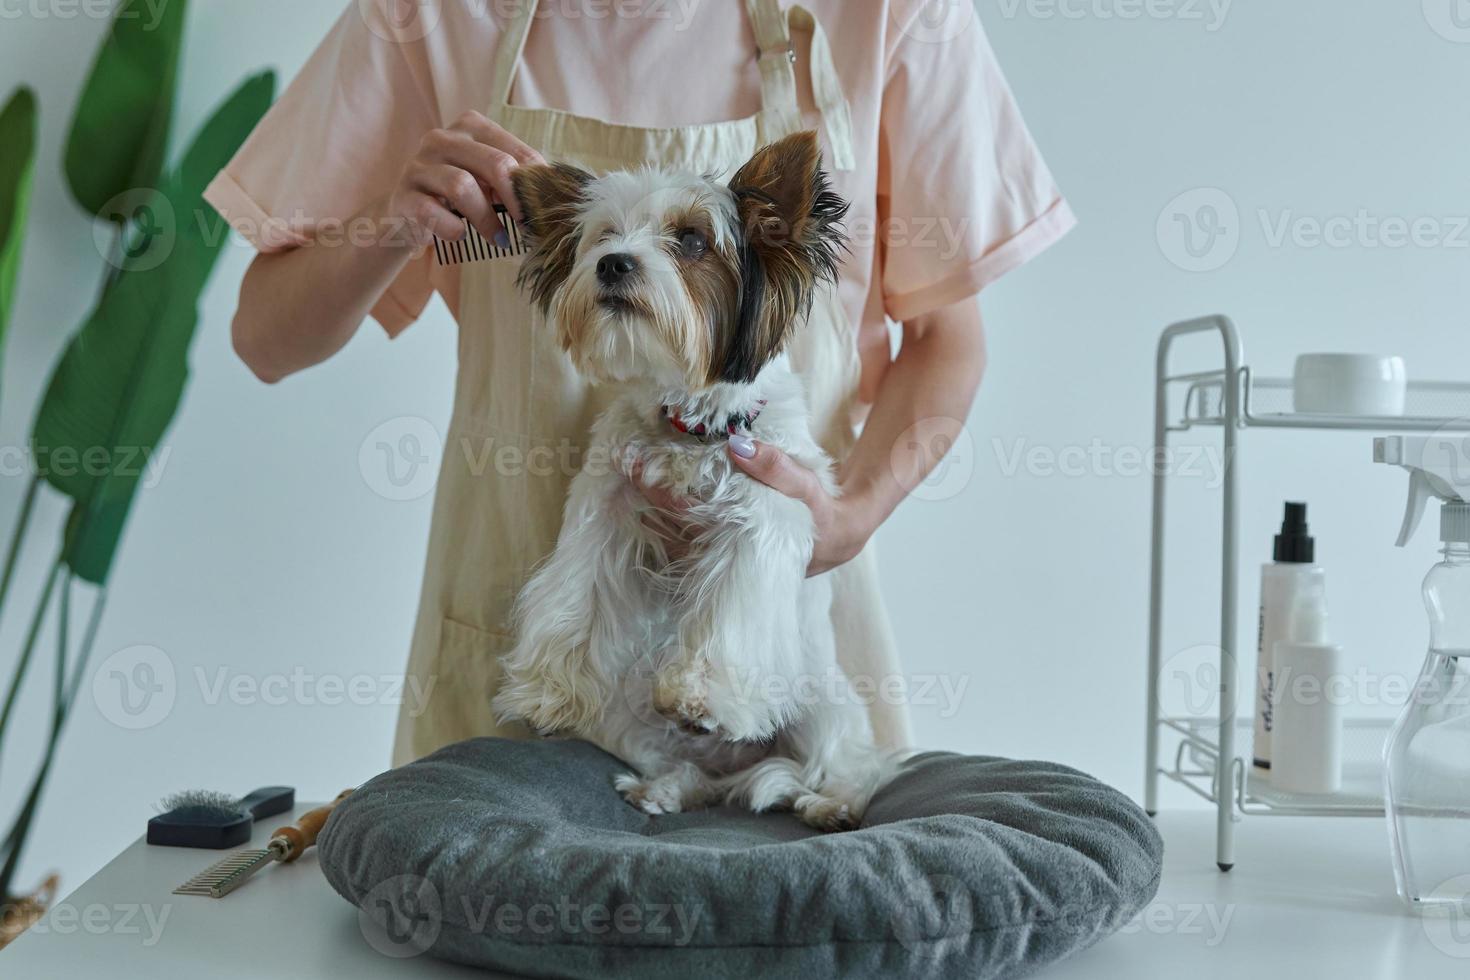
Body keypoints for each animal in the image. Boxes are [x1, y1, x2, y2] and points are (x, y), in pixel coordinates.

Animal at [490, 130, 893, 834]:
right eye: (603, 236)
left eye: (692, 240)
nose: (613, 264)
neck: (691, 424)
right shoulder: (604, 504)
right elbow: (573, 592)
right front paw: (545, 689)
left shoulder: (764, 515)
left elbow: (731, 605)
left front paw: (701, 695)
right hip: (628, 717)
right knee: (689, 773)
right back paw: (669, 788)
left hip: (820, 699)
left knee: (849, 759)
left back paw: (831, 801)